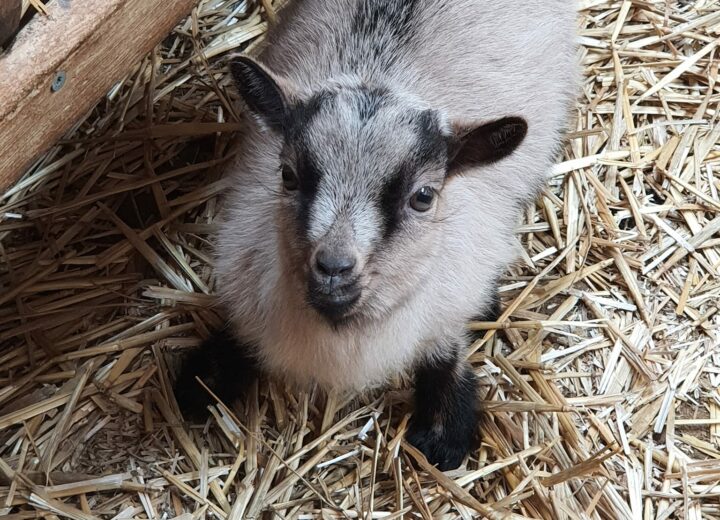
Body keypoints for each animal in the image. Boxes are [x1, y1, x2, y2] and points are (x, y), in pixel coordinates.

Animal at [177, 0, 576, 472]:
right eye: (288, 175)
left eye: (423, 197)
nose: (333, 269)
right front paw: (207, 376)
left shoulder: (450, 294)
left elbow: (445, 351)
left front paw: (442, 434)